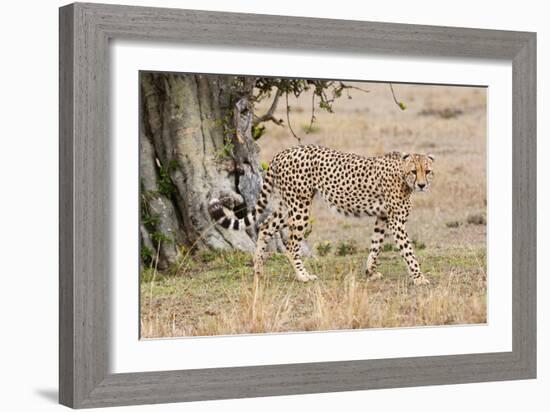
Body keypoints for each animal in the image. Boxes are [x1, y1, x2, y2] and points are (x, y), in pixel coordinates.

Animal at [210, 145, 436, 284]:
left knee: (266, 226)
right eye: (414, 171)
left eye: (428, 171)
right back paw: (303, 276)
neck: (402, 176)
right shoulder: (396, 222)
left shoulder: (382, 218)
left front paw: (370, 272)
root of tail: (284, 152)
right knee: (291, 245)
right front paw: (419, 278)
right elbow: (408, 252)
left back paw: (258, 269)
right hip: (300, 206)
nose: (422, 185)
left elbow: (376, 246)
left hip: (288, 204)